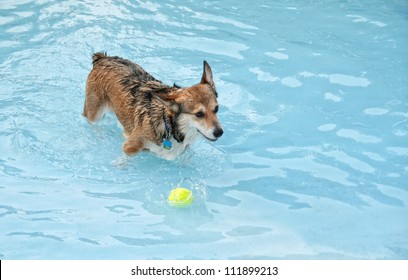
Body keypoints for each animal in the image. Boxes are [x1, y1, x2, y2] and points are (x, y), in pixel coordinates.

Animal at [83, 53, 223, 160]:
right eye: (199, 114)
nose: (220, 132)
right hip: (94, 113)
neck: (169, 125)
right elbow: (125, 158)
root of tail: (103, 58)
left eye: (216, 109)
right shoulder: (130, 146)